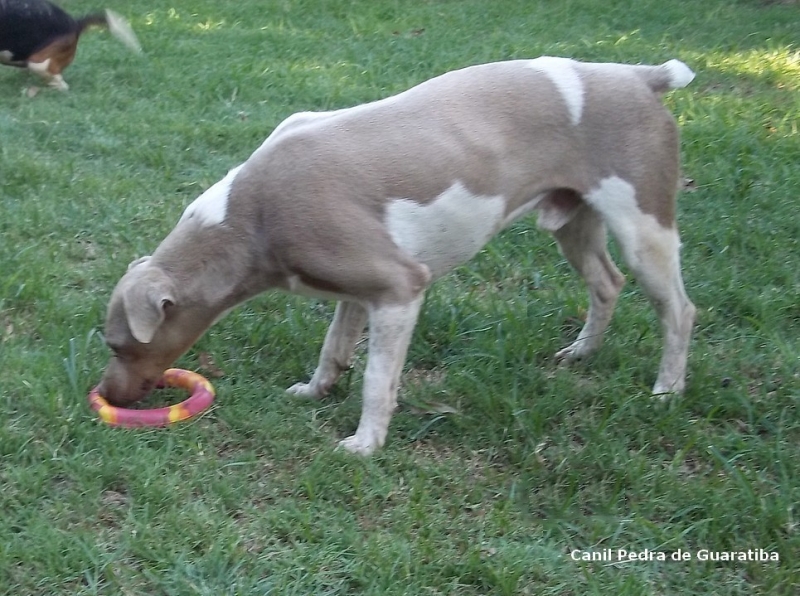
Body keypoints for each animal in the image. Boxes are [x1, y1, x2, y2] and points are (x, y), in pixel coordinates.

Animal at [100, 58, 696, 454]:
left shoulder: (400, 288)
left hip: (645, 228)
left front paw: (365, 444)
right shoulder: (357, 292)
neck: (251, 214)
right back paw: (582, 353)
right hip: (574, 223)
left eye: (117, 344)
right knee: (607, 283)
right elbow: (334, 349)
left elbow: (376, 381)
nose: (105, 395)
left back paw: (667, 391)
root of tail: (640, 76)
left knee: (679, 311)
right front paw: (315, 391)